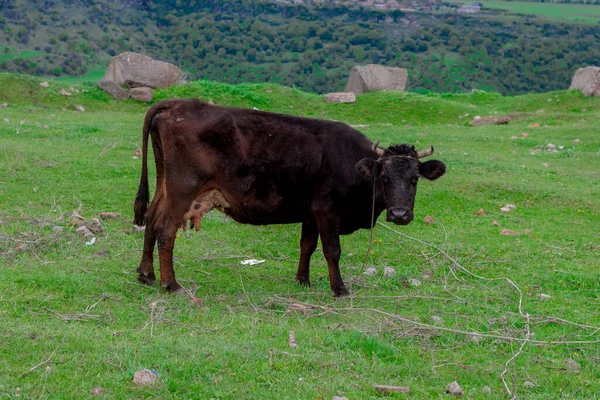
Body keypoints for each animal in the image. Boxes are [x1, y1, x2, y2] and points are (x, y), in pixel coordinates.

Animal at [135, 98, 446, 296]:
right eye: (384, 177)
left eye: (415, 179)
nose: (400, 215)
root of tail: (178, 103)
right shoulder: (327, 209)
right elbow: (332, 250)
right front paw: (339, 289)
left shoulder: (310, 212)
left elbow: (307, 246)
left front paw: (303, 281)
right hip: (183, 188)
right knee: (166, 228)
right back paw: (171, 284)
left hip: (165, 183)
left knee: (150, 219)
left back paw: (146, 275)